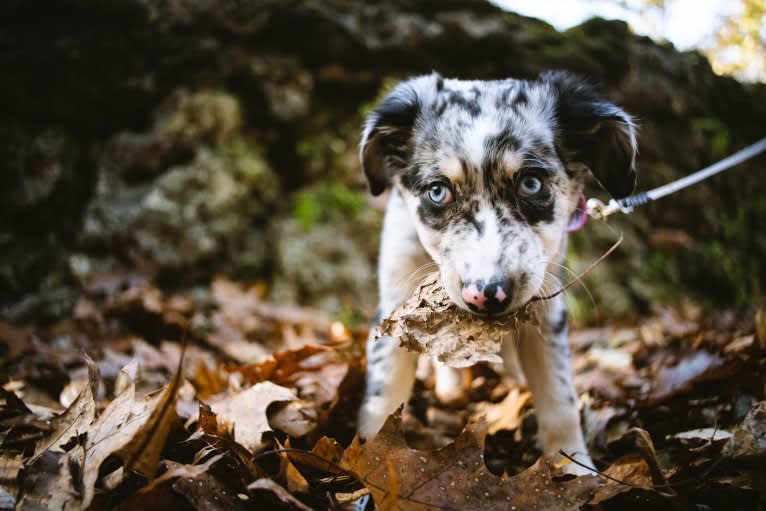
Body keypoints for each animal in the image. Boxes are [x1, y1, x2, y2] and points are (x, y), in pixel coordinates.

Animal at [356, 70, 640, 474]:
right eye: (438, 192)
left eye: (531, 184)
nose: (487, 294)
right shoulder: (396, 299)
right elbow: (385, 388)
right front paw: (367, 455)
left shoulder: (546, 305)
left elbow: (559, 398)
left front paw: (574, 467)